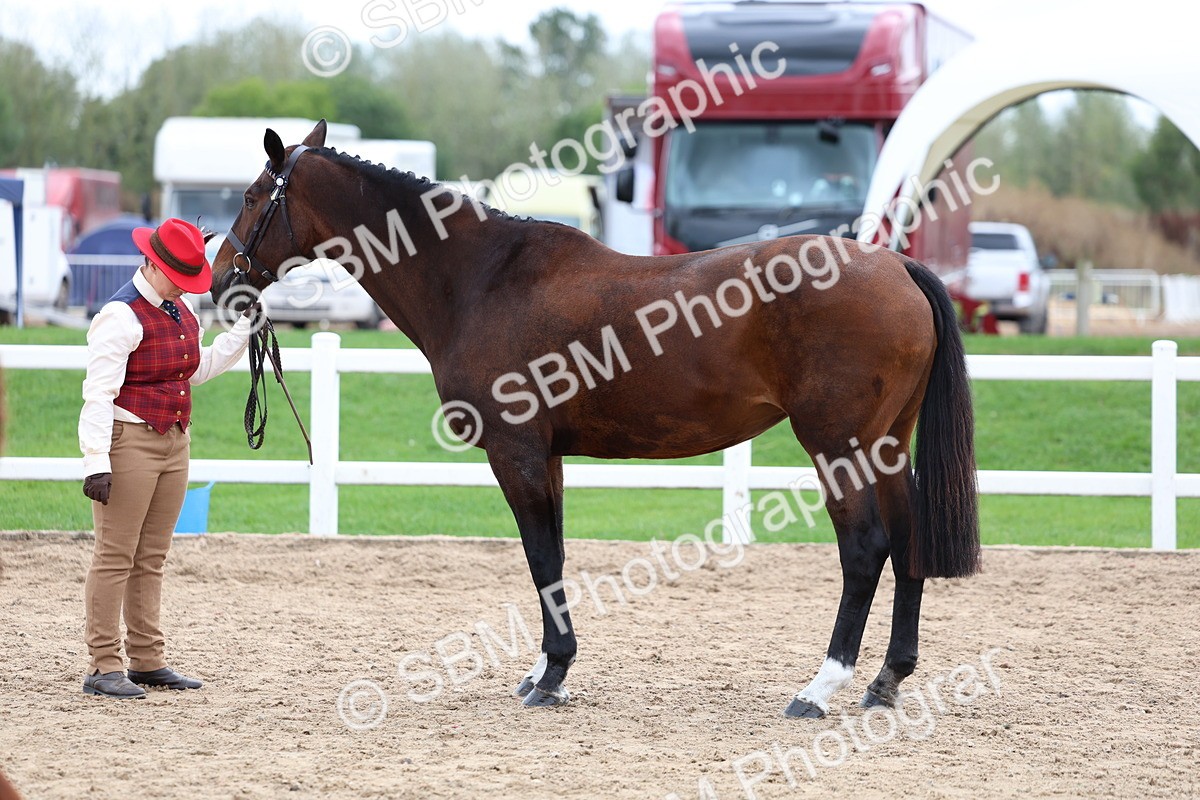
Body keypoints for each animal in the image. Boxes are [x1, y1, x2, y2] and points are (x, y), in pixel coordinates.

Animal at [211, 120, 980, 717]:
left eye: (250, 197)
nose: (221, 283)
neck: (481, 278)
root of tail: (897, 267)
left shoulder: (515, 451)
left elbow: (541, 558)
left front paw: (550, 676)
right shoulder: (547, 455)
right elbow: (553, 555)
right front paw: (544, 671)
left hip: (836, 444)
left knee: (865, 548)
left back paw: (819, 688)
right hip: (886, 444)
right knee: (906, 539)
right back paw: (885, 681)